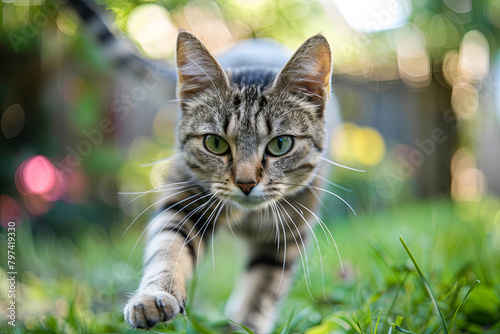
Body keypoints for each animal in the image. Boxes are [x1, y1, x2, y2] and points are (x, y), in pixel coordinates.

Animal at [123, 30, 338, 332]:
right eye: (215, 143)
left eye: (281, 144)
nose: (245, 183)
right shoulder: (182, 204)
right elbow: (167, 249)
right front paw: (155, 295)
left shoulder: (284, 237)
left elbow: (260, 293)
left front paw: (247, 324)